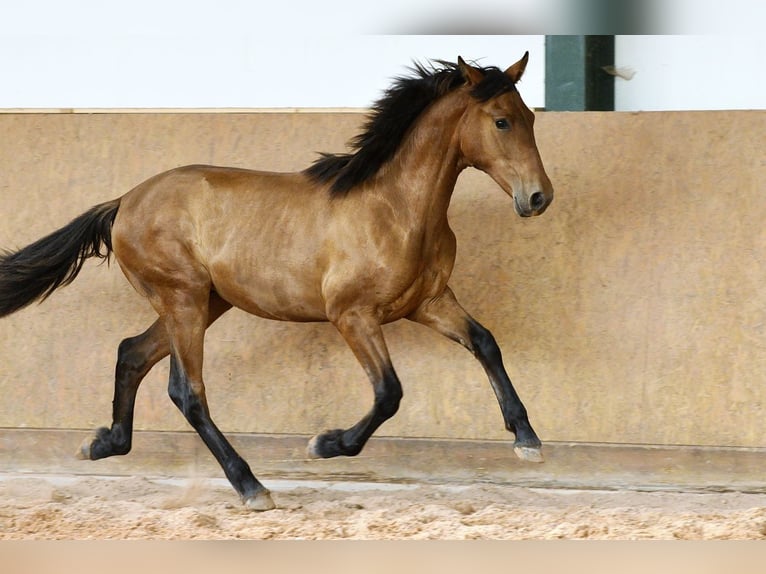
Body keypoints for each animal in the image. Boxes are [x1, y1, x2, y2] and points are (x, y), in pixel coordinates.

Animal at [0, 53, 553, 511]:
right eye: (501, 121)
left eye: (529, 118)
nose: (538, 197)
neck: (395, 209)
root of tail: (124, 202)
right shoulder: (352, 315)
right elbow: (389, 392)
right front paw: (326, 444)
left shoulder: (429, 302)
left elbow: (485, 343)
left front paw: (527, 441)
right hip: (183, 301)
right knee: (187, 390)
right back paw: (251, 487)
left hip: (205, 302)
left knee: (132, 353)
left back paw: (102, 443)